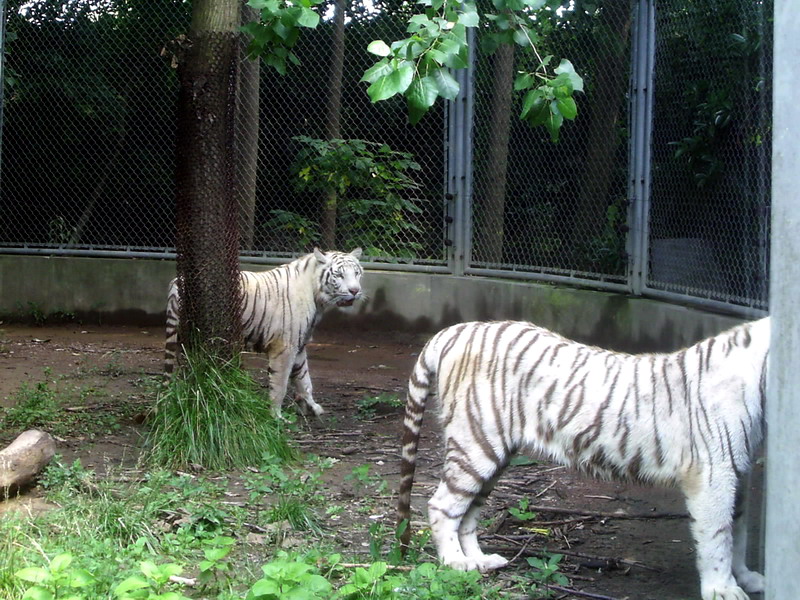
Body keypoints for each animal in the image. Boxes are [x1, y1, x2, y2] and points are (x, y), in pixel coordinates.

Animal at [164, 248, 363, 416]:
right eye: (339, 275)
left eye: (356, 273)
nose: (355, 290)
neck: (317, 297)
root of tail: (176, 281)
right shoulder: (285, 347)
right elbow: (280, 384)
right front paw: (276, 416)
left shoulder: (299, 345)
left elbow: (305, 379)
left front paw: (311, 406)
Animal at [398, 318, 769, 600]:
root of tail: (457, 330)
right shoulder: (713, 473)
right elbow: (718, 536)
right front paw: (723, 590)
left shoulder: (738, 472)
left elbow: (738, 532)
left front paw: (747, 578)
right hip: (476, 443)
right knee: (443, 505)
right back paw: (454, 564)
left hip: (493, 453)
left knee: (469, 512)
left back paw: (480, 561)